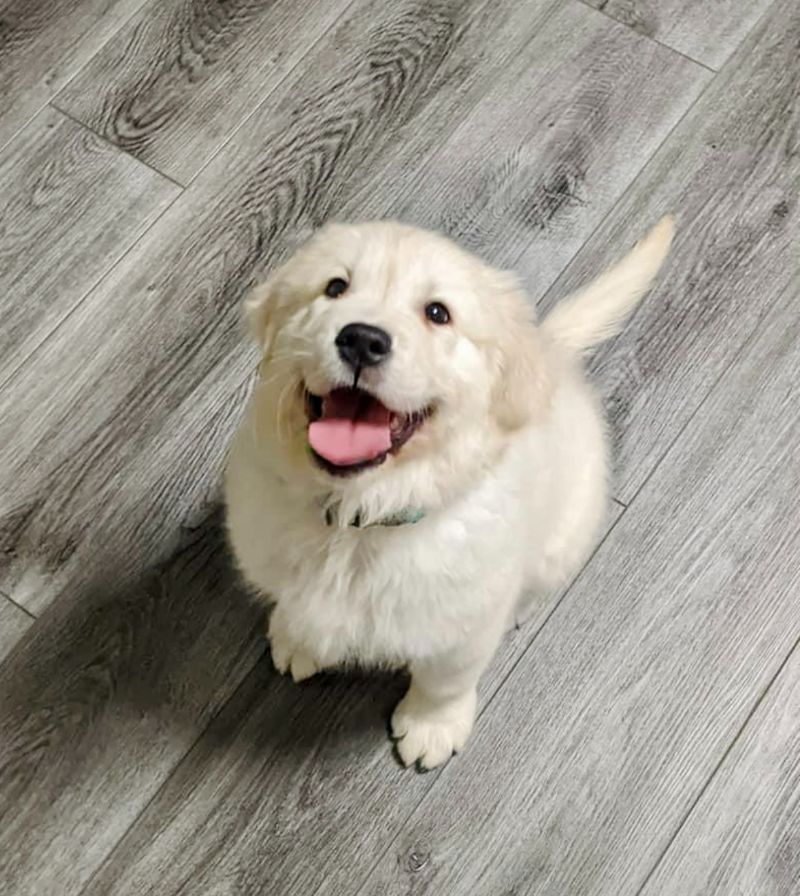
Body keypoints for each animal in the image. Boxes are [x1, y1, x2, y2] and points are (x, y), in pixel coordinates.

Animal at [224, 217, 674, 769]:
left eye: (438, 313)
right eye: (335, 288)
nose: (362, 340)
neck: (360, 519)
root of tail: (551, 355)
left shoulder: (463, 629)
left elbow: (445, 682)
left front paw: (431, 727)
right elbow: (294, 604)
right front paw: (298, 640)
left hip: (563, 540)